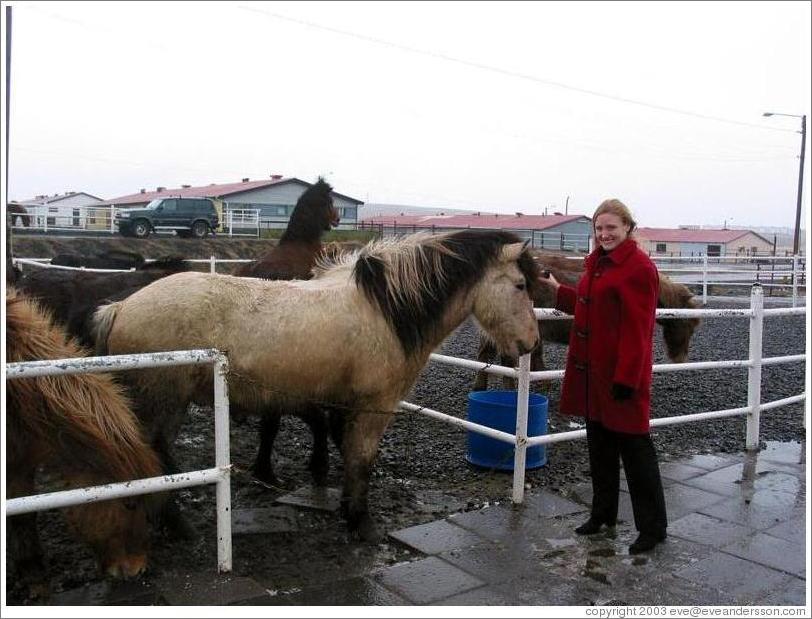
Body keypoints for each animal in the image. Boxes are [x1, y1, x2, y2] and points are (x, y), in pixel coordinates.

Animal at [93, 229, 540, 544]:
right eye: (520, 285)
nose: (531, 343)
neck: (385, 312)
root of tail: (121, 307)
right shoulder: (375, 407)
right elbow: (361, 459)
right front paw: (361, 523)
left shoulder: (341, 404)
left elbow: (344, 450)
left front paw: (345, 509)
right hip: (166, 405)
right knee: (157, 460)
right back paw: (179, 527)